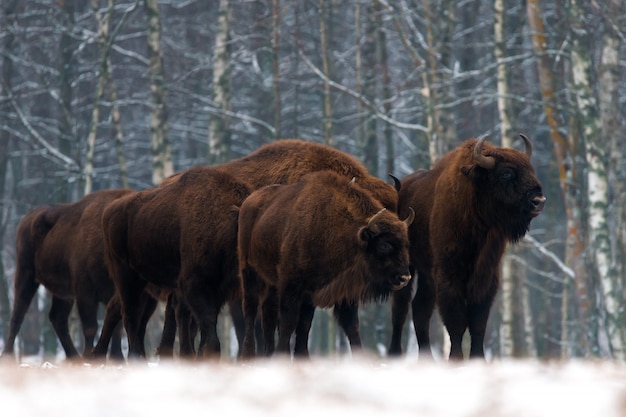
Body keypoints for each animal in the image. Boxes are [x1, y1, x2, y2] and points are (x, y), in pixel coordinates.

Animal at [2, 189, 132, 360]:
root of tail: (27, 219)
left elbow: (117, 326)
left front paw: (117, 358)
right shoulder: (85, 292)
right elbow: (91, 327)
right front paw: (88, 355)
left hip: (63, 292)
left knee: (57, 317)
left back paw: (74, 357)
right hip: (25, 275)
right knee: (18, 315)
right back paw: (7, 355)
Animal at [236, 171, 412, 356]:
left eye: (406, 243)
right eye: (384, 245)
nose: (404, 278)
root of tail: (248, 202)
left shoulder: (332, 292)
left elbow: (338, 326)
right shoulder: (292, 286)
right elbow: (289, 323)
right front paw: (282, 354)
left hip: (271, 281)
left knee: (268, 314)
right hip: (249, 271)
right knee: (250, 310)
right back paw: (248, 355)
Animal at [388, 135, 544, 360]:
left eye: (530, 169)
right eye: (506, 173)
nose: (538, 201)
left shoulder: (486, 278)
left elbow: (478, 322)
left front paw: (478, 358)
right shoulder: (449, 276)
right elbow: (457, 322)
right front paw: (456, 358)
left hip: (427, 276)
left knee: (420, 309)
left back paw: (427, 358)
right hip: (406, 269)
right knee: (400, 309)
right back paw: (395, 354)